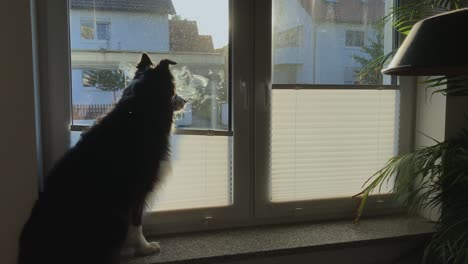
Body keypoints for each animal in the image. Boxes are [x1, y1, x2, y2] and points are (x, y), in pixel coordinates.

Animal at [18, 53, 186, 264]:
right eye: (174, 90)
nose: (186, 101)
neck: (141, 109)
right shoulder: (138, 190)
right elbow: (136, 224)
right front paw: (145, 248)